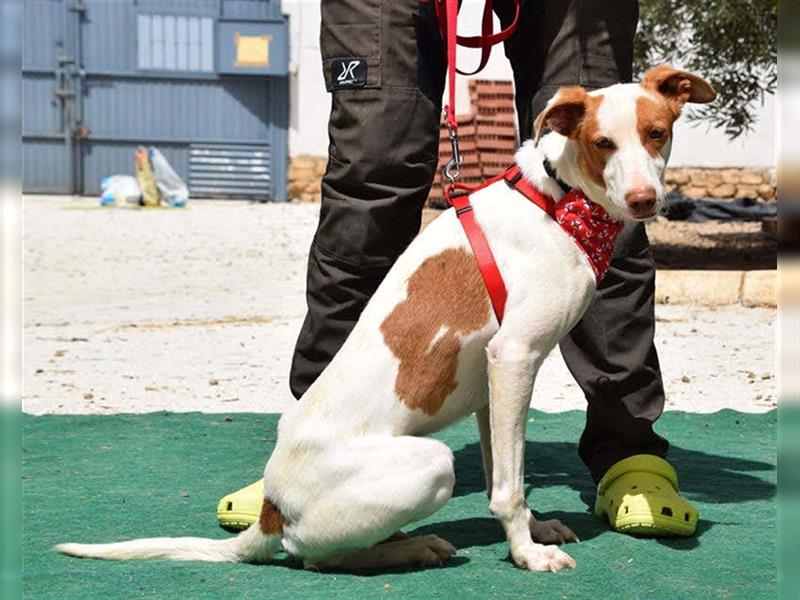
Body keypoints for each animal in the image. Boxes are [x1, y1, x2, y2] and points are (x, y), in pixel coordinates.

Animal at [57, 64, 720, 572]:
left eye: (657, 133)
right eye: (603, 143)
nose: (645, 201)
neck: (557, 199)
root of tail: (271, 511)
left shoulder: (493, 383)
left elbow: (503, 470)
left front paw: (535, 531)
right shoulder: (515, 357)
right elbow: (508, 488)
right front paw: (527, 553)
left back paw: (405, 542)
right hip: (428, 464)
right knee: (316, 557)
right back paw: (405, 549)